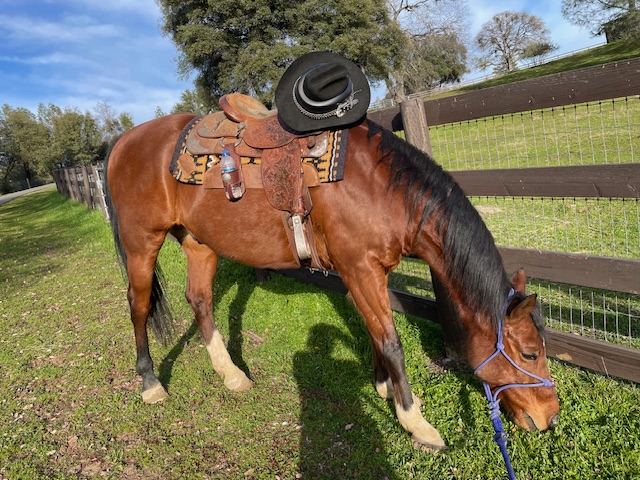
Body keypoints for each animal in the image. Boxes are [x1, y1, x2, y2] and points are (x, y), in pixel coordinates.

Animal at [104, 112, 559, 451]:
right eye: (531, 354)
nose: (550, 417)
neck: (380, 188)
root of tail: (121, 142)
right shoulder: (360, 269)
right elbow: (392, 342)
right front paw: (415, 421)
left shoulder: (368, 273)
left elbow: (375, 332)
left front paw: (384, 389)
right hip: (142, 244)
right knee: (138, 305)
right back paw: (150, 383)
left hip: (198, 243)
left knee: (199, 300)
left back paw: (232, 375)